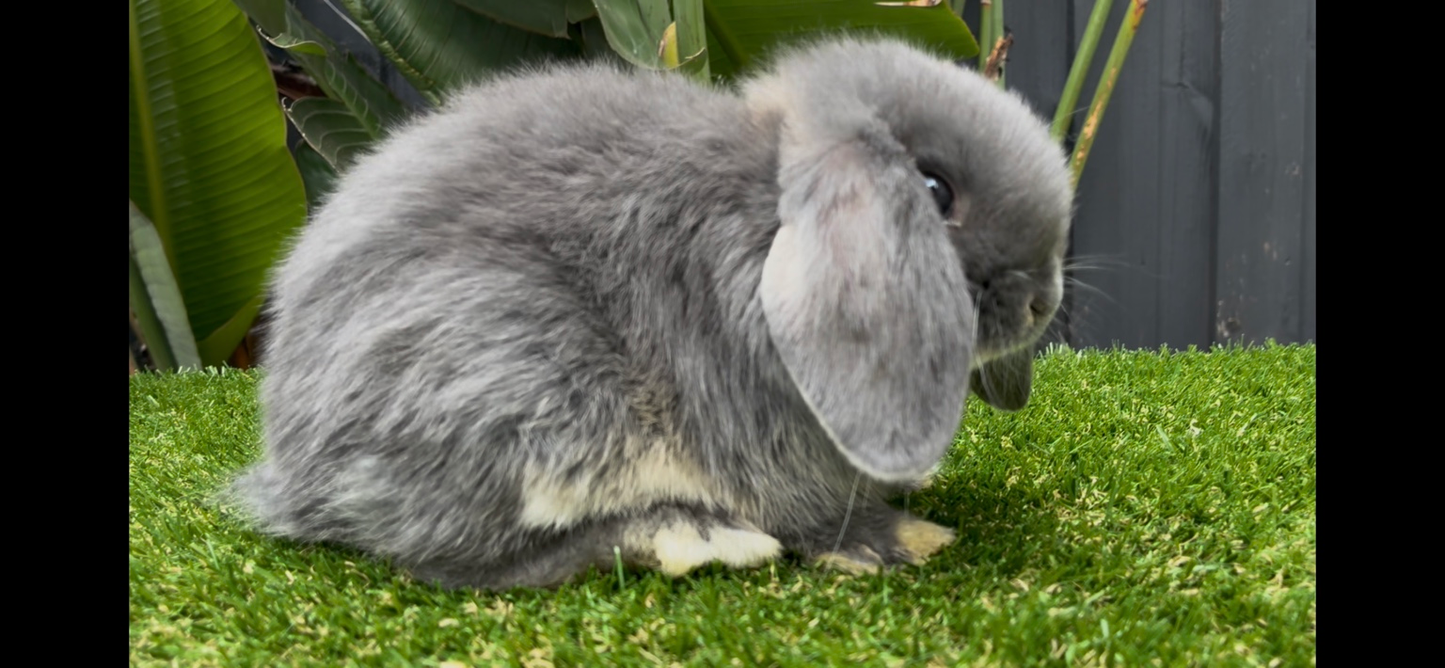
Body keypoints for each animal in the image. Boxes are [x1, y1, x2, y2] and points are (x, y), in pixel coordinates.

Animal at [231, 36, 1074, 591]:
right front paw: (892, 541)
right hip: (515, 377)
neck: (766, 212)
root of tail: (296, 474)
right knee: (462, 564)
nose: (1039, 302)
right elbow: (804, 503)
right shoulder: (748, 412)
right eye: (933, 190)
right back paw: (693, 536)